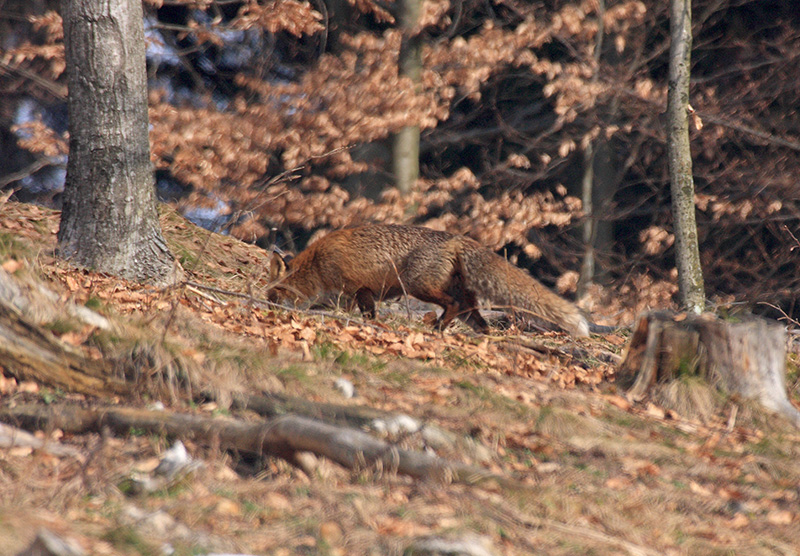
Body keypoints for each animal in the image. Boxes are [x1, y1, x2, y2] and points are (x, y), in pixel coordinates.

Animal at [268, 224, 608, 336]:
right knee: (479, 323)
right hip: (465, 303)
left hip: (418, 286)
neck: (316, 264)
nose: (269, 306)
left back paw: (439, 328)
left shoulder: (354, 289)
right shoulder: (361, 293)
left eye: (273, 296)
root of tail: (456, 238)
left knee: (452, 305)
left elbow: (357, 312)